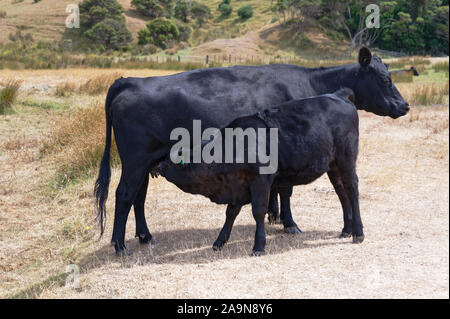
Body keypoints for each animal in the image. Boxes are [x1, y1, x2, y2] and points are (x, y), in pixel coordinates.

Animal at [157, 89, 362, 256]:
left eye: (179, 160)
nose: (159, 166)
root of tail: (339, 95)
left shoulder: (260, 181)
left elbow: (258, 211)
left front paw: (259, 245)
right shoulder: (237, 185)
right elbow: (231, 212)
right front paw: (219, 242)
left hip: (346, 160)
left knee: (352, 190)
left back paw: (358, 233)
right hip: (333, 167)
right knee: (342, 193)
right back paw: (346, 229)